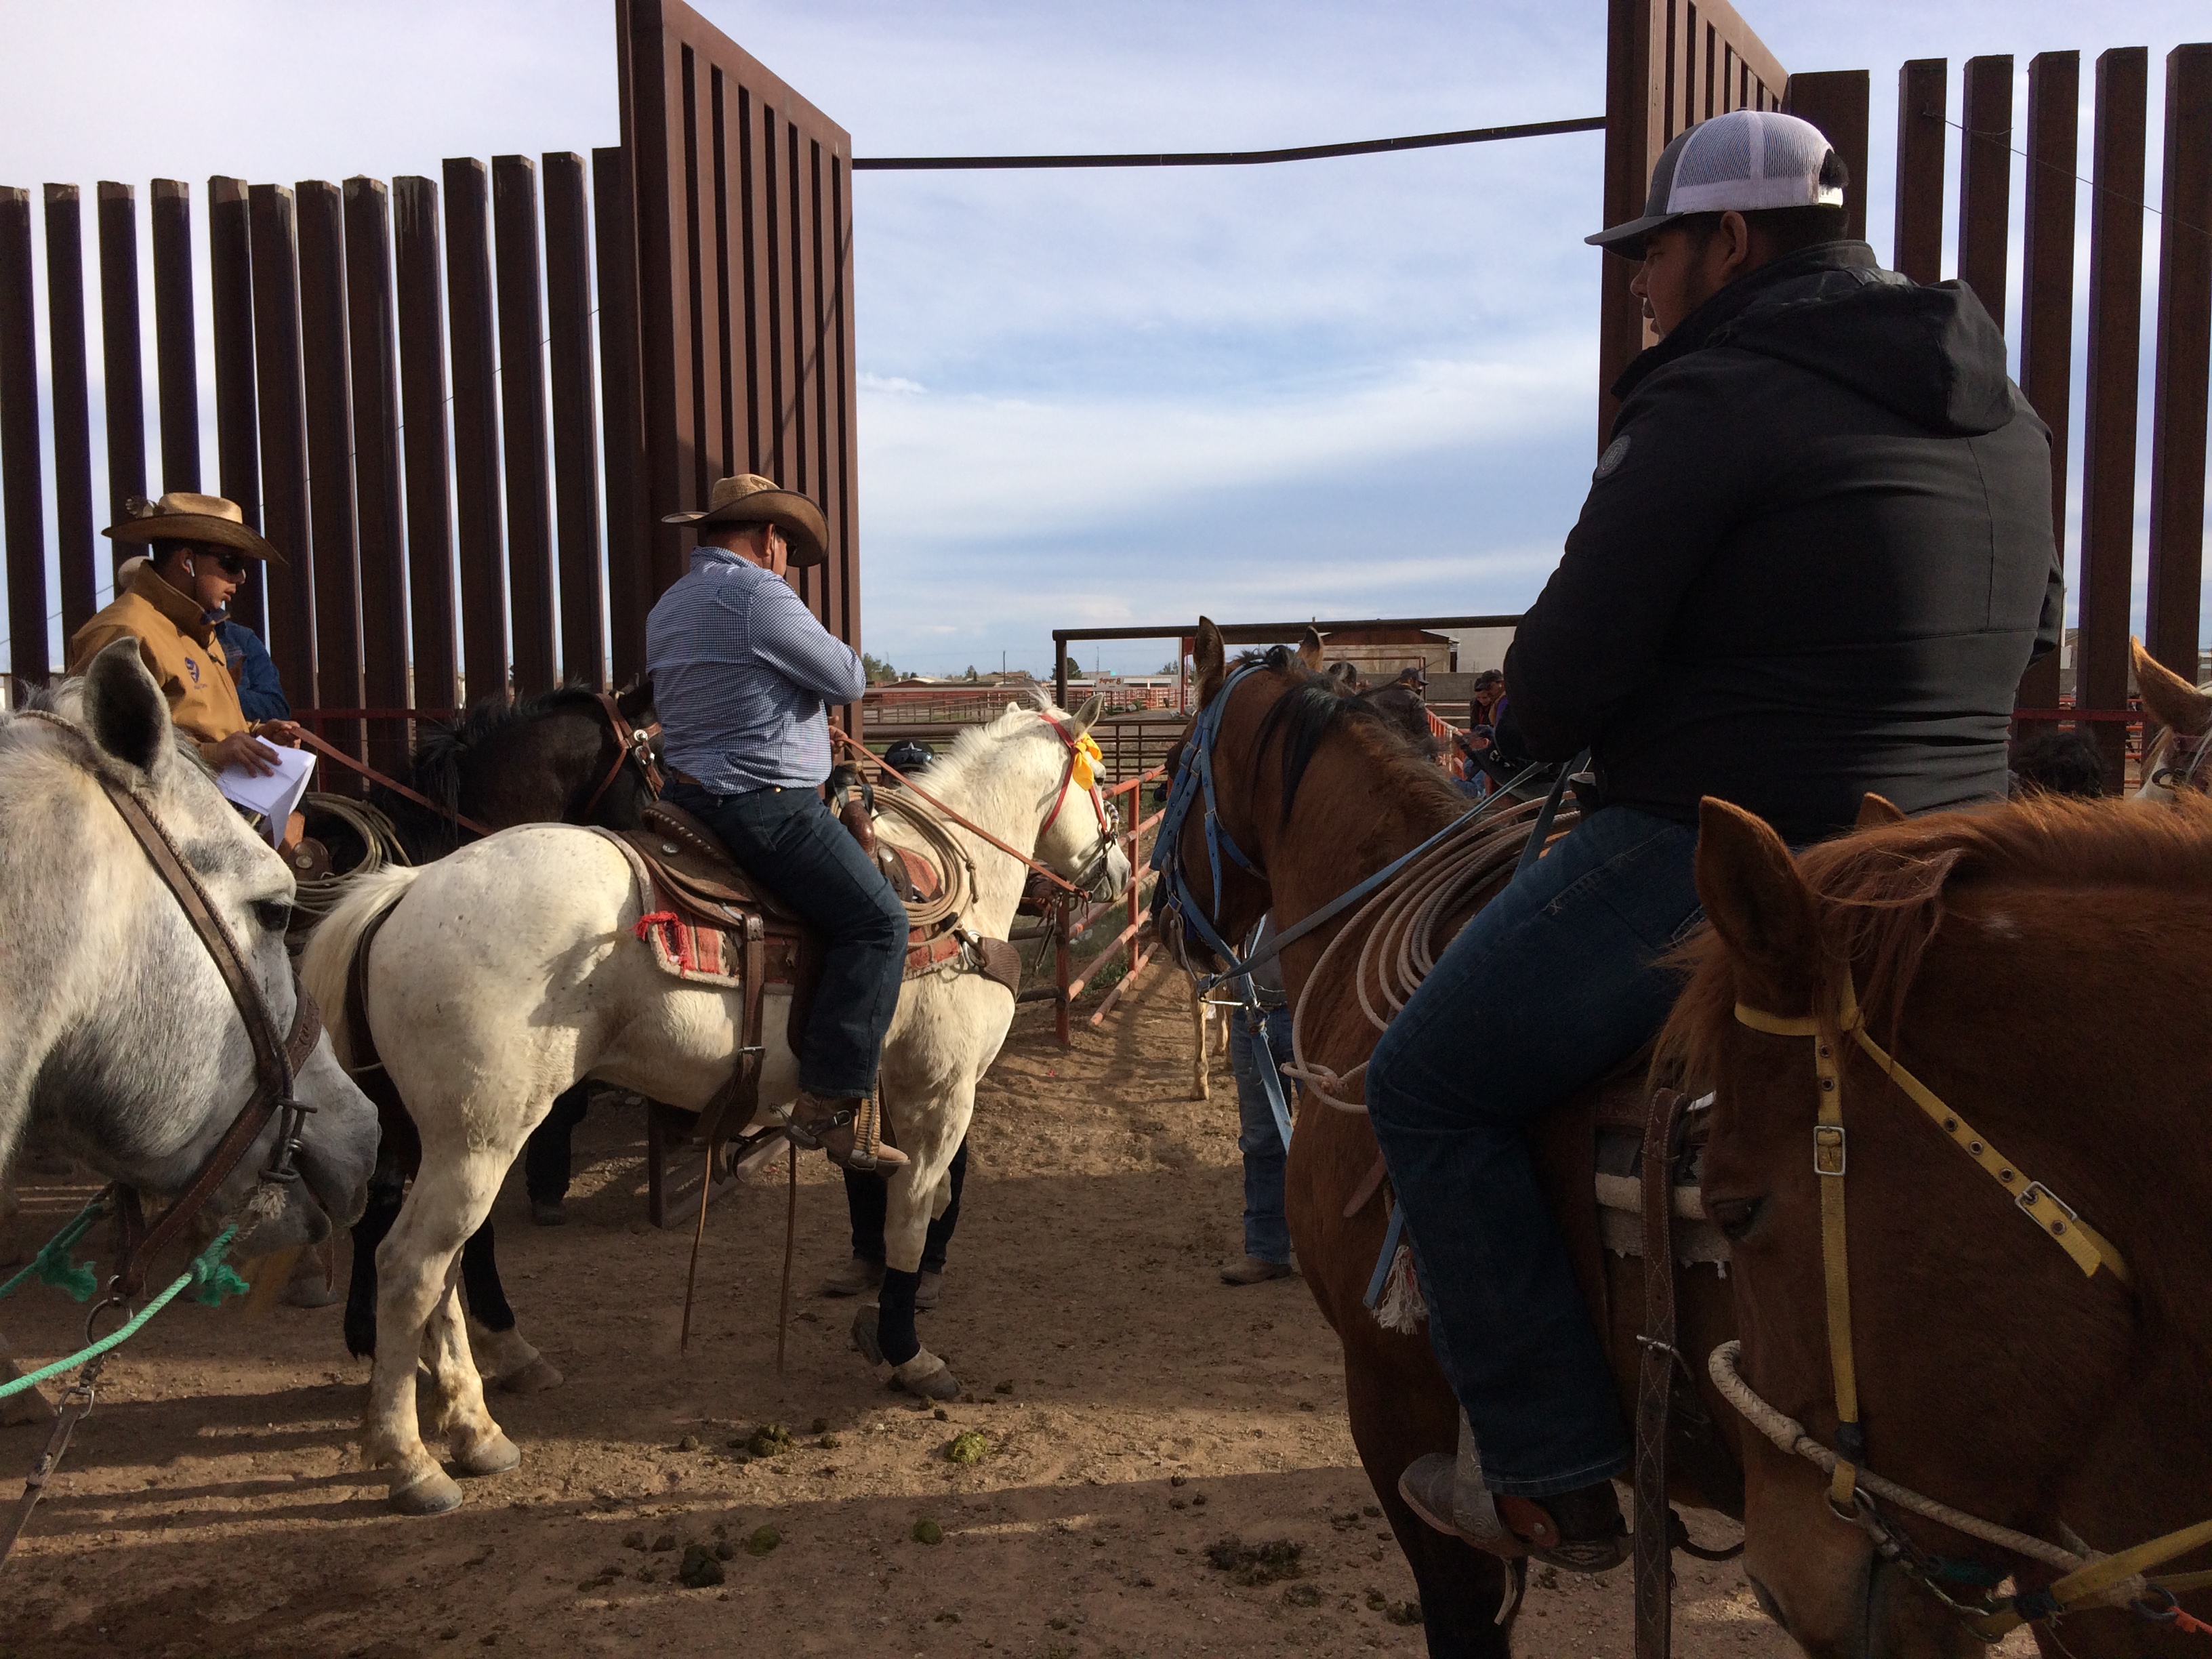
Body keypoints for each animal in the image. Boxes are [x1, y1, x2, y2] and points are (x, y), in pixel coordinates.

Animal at [303, 694, 1132, 1513]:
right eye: (1098, 785)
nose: (1120, 869)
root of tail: (406, 890)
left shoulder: (893, 1097)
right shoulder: (942, 1093)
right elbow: (913, 1215)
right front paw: (908, 1352)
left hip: (436, 1143)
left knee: (441, 1271)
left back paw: (475, 1431)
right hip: (479, 1140)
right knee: (410, 1267)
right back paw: (414, 1462)